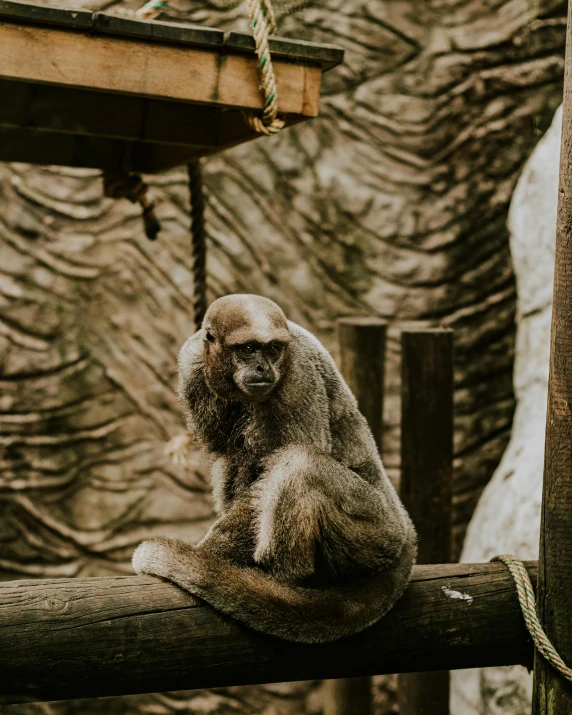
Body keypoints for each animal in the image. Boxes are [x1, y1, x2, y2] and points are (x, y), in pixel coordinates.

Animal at [132, 296, 418, 644]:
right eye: (247, 349)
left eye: (272, 350)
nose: (263, 368)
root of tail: (403, 526)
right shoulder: (191, 365)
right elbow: (229, 454)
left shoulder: (298, 377)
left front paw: (206, 557)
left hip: (376, 533)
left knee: (299, 462)